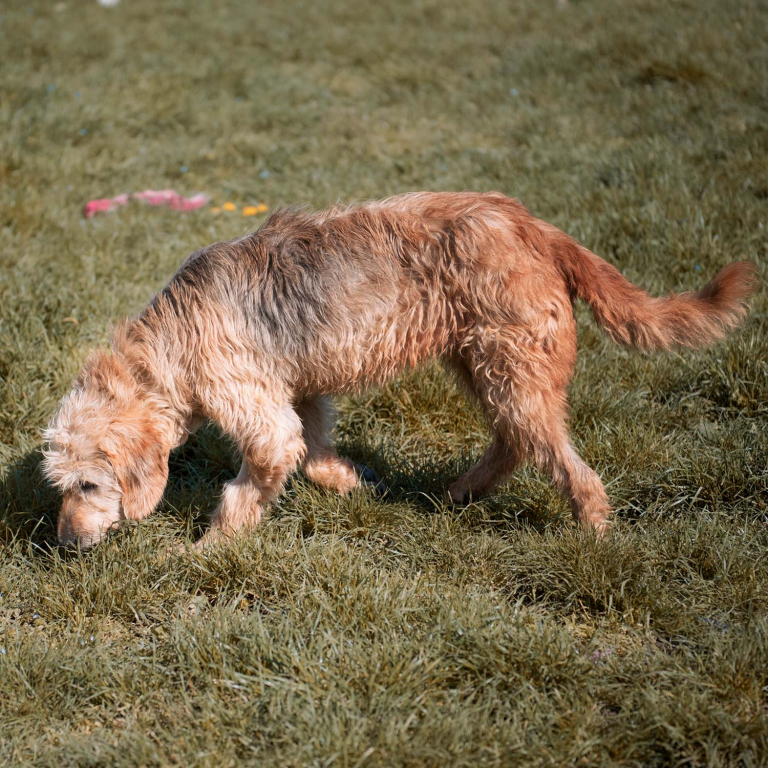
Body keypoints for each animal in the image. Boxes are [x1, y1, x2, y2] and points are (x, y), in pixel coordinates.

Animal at [43, 192, 756, 548]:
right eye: (61, 488)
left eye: (89, 485)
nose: (64, 545)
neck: (170, 344)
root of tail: (535, 226)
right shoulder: (302, 394)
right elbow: (312, 452)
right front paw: (352, 483)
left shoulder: (257, 412)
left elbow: (250, 484)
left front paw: (212, 547)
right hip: (484, 365)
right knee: (515, 444)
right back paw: (458, 495)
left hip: (510, 369)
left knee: (563, 462)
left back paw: (595, 530)